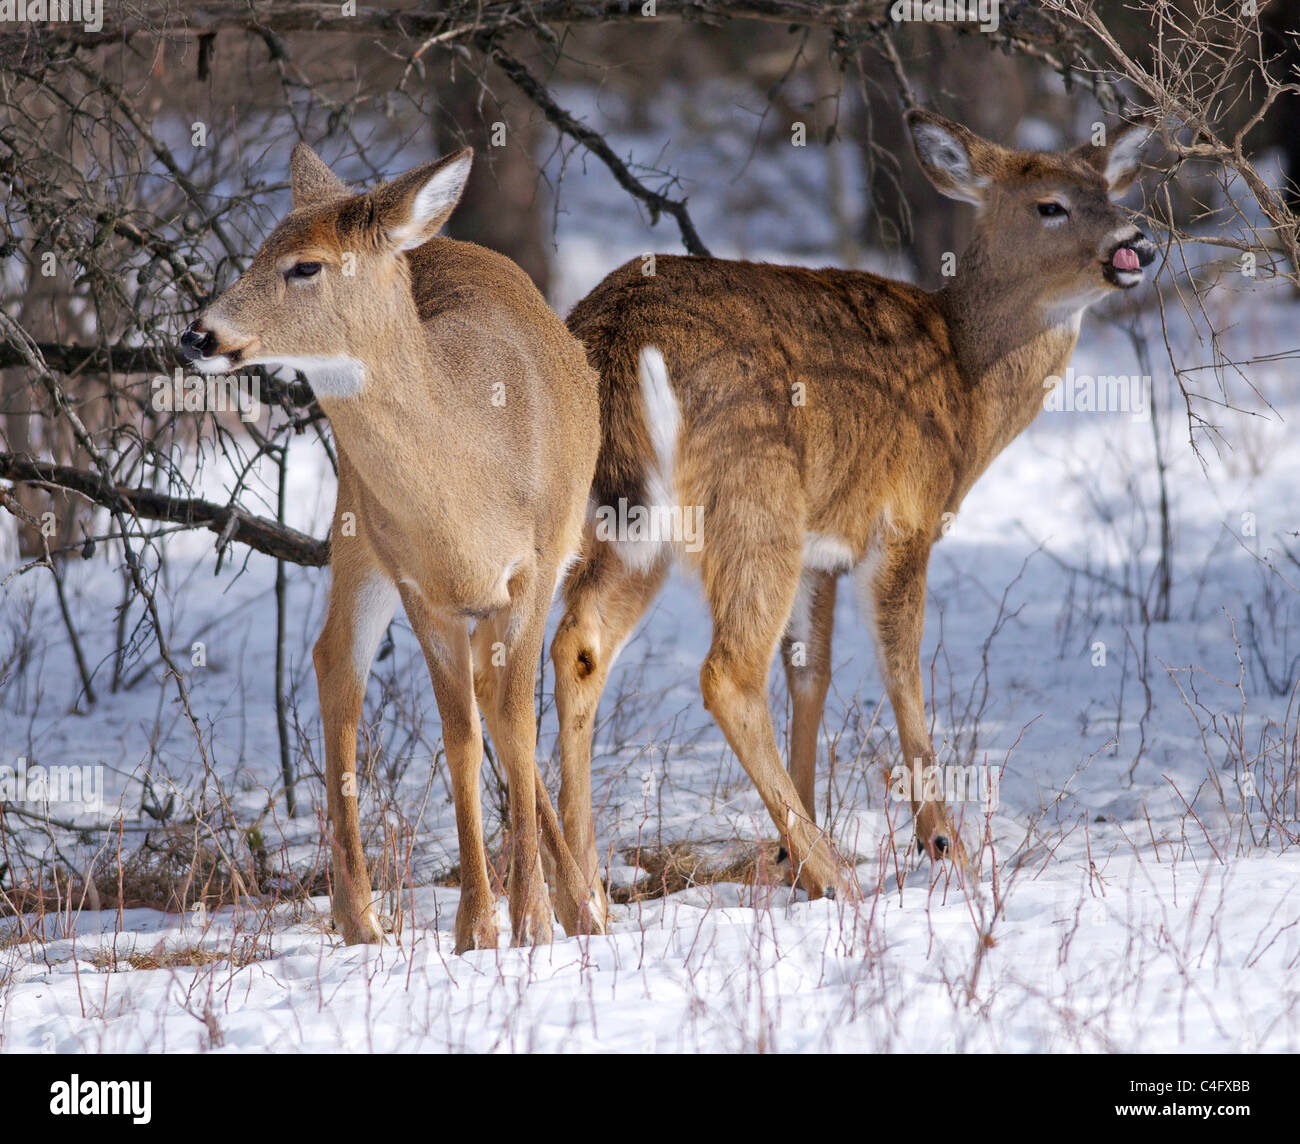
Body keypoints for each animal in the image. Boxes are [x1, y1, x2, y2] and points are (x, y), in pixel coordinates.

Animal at [180, 143, 600, 946]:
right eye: (257, 251)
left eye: (305, 265)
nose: (197, 335)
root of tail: (432, 238)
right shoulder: (418, 584)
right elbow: (461, 736)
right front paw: (480, 927)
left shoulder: (531, 572)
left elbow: (512, 724)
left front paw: (533, 920)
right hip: (356, 524)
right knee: (337, 661)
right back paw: (361, 919)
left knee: (488, 703)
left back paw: (579, 904)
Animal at [546, 105, 1149, 909]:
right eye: (1049, 204)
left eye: (1110, 191)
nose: (1137, 242)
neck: (965, 386)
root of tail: (618, 331)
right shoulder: (903, 520)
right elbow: (902, 672)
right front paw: (942, 847)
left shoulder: (821, 551)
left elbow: (812, 675)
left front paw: (788, 861)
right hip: (751, 494)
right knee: (727, 672)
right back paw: (838, 881)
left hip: (619, 519)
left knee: (578, 647)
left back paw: (584, 896)